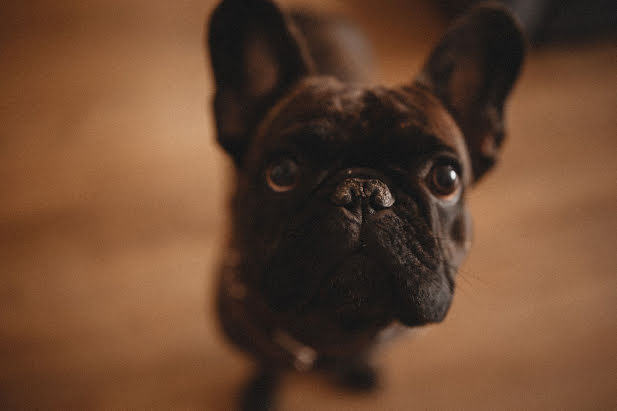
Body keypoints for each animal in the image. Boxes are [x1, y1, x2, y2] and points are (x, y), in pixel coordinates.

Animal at [207, 1, 524, 410]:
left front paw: (359, 367)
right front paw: (259, 392)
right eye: (281, 172)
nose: (362, 190)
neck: (340, 327)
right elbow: (266, 364)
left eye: (446, 178)